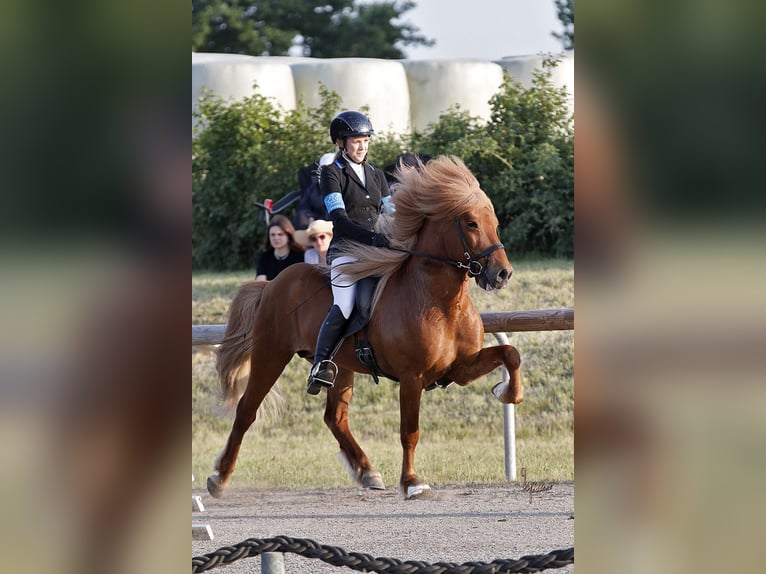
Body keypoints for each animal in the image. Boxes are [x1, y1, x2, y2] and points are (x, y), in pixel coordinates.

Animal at [207, 155, 524, 502]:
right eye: (470, 223)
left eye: (494, 221)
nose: (502, 274)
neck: (442, 303)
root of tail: (272, 284)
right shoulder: (412, 378)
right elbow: (409, 432)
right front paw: (412, 483)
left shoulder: (458, 368)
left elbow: (511, 353)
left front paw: (507, 393)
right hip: (271, 354)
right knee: (246, 411)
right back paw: (219, 478)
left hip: (340, 365)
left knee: (334, 417)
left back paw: (368, 471)